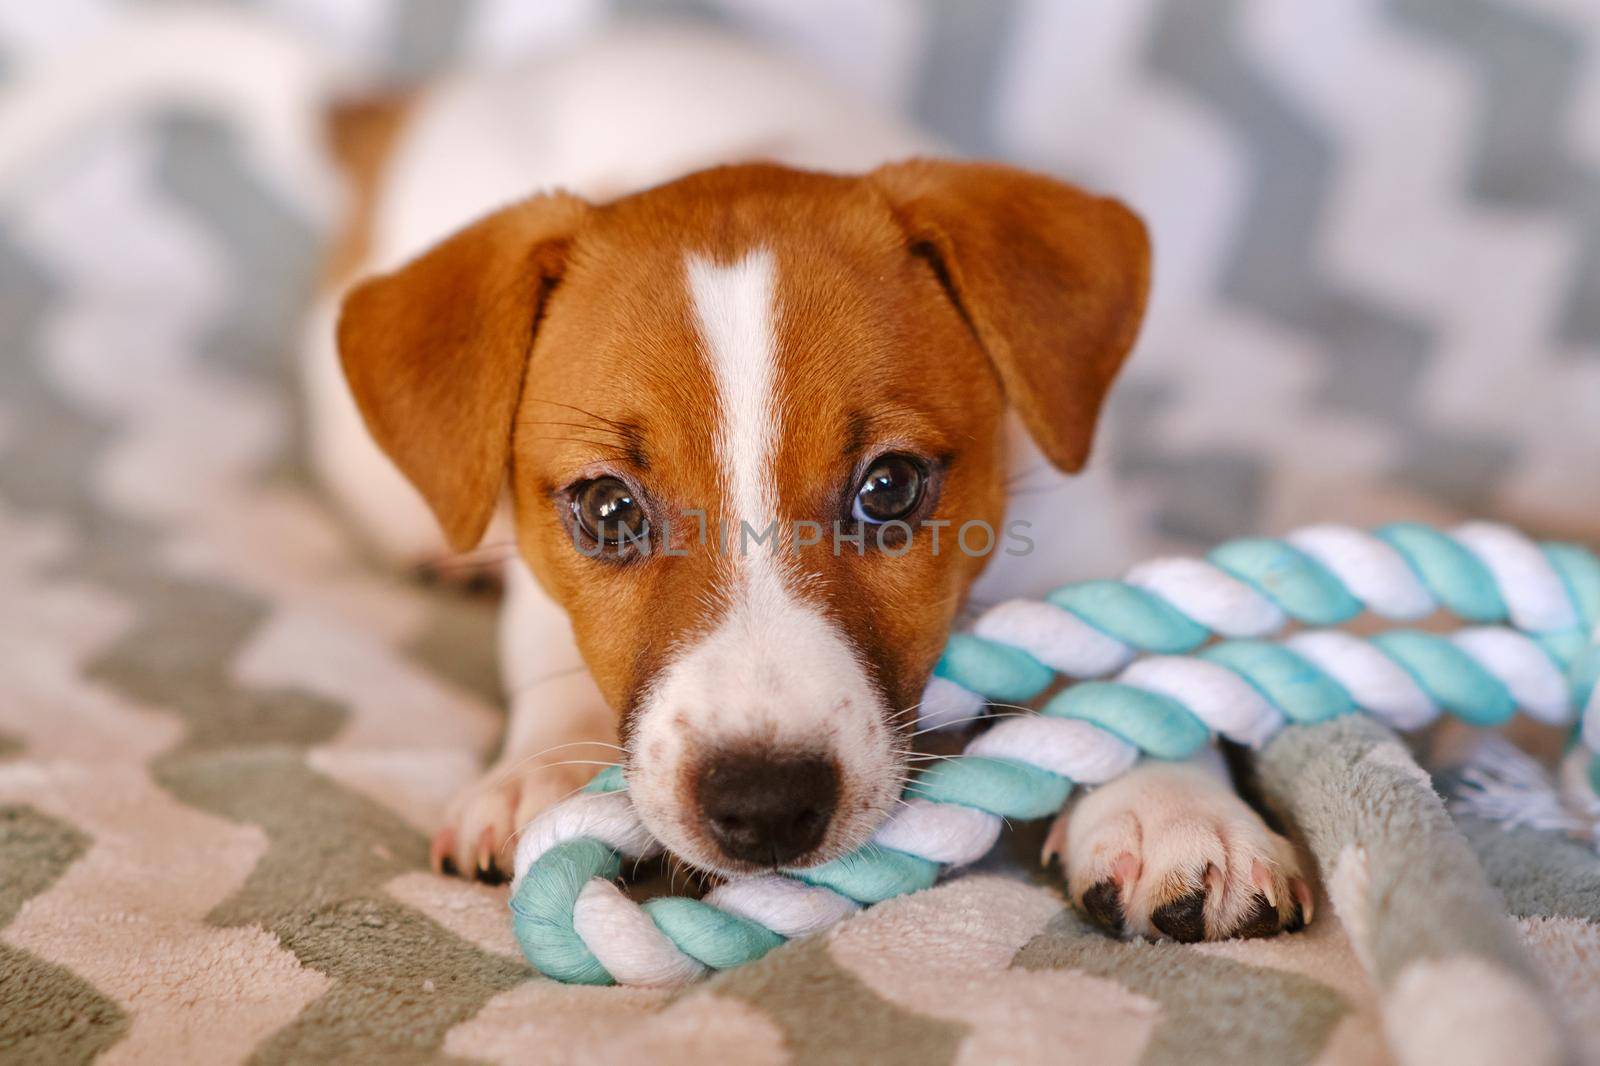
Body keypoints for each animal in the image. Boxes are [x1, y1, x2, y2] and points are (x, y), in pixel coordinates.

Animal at [302, 27, 1312, 941]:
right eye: (606, 509)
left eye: (890, 488)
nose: (765, 805)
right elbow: (554, 662)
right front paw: (537, 776)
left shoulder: (1079, 537)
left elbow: (1141, 670)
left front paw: (1178, 809)